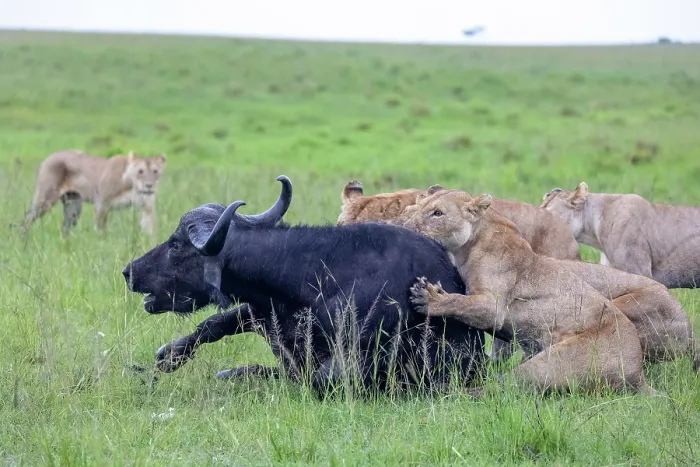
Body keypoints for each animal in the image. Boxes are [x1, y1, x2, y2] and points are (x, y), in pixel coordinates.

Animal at [21, 149, 166, 236]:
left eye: (155, 171)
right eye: (140, 171)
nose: (149, 185)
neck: (133, 186)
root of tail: (49, 156)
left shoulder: (148, 207)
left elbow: (151, 229)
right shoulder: (102, 204)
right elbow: (101, 231)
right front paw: (103, 246)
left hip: (73, 207)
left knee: (65, 227)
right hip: (46, 199)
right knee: (27, 217)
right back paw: (23, 239)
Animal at [123, 176, 486, 397]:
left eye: (176, 245)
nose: (129, 271)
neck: (311, 276)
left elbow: (315, 379)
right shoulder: (261, 311)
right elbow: (214, 323)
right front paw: (169, 356)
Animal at [403, 189, 660, 396]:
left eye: (437, 213)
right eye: (416, 207)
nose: (405, 228)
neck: (468, 245)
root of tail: (638, 374)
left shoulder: (493, 308)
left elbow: (460, 301)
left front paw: (429, 298)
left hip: (552, 362)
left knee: (504, 387)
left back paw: (449, 393)